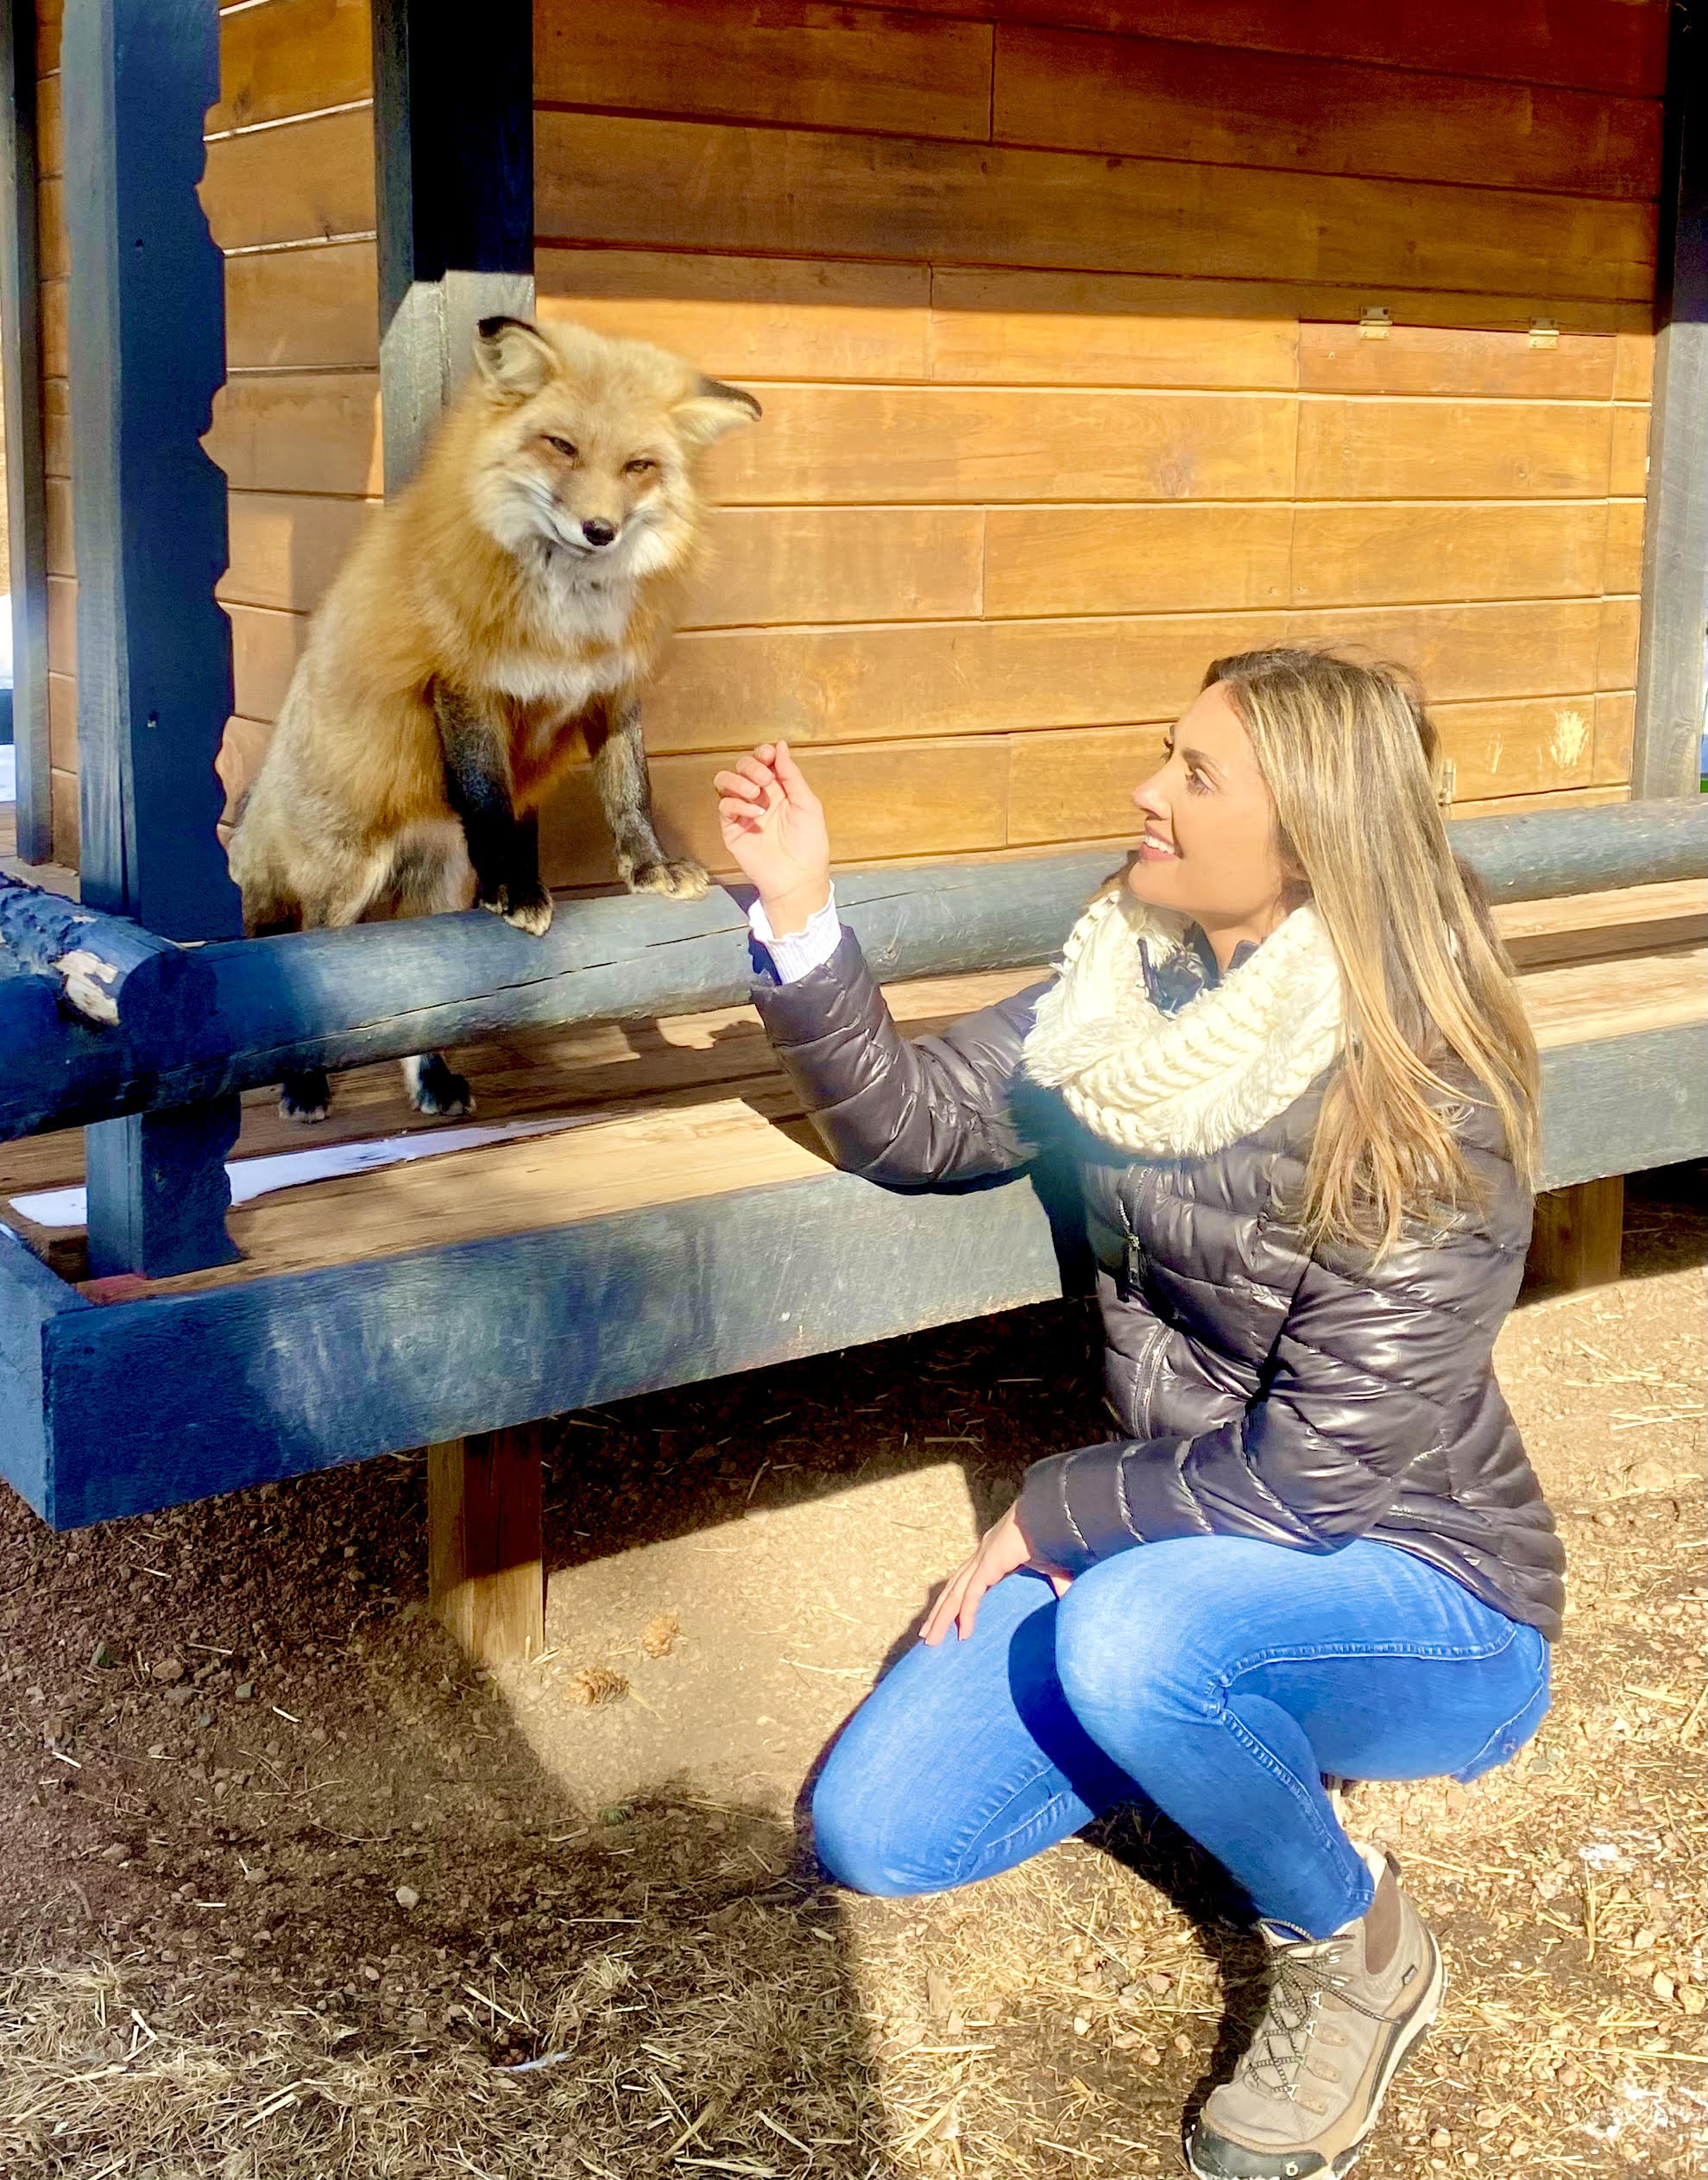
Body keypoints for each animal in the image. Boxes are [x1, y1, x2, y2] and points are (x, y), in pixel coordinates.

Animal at [226, 314, 761, 1121]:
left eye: (638, 465)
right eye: (561, 446)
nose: (598, 529)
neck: (570, 616)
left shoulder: (610, 689)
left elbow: (629, 793)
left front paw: (650, 867)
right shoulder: (465, 686)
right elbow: (493, 805)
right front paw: (514, 887)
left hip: (437, 888)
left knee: (420, 986)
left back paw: (432, 1078)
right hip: (343, 880)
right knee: (315, 960)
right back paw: (304, 1080)